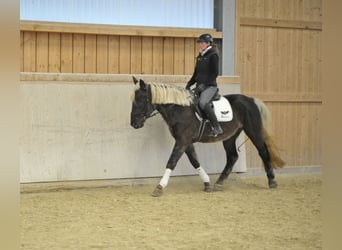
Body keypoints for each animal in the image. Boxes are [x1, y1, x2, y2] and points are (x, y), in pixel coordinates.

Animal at [130, 76, 284, 197]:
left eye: (141, 99)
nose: (134, 123)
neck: (179, 110)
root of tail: (251, 100)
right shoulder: (185, 141)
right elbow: (195, 161)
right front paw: (207, 183)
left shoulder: (182, 141)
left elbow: (171, 162)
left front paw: (159, 187)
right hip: (229, 137)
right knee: (232, 157)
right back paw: (219, 183)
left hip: (253, 131)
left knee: (263, 151)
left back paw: (272, 181)